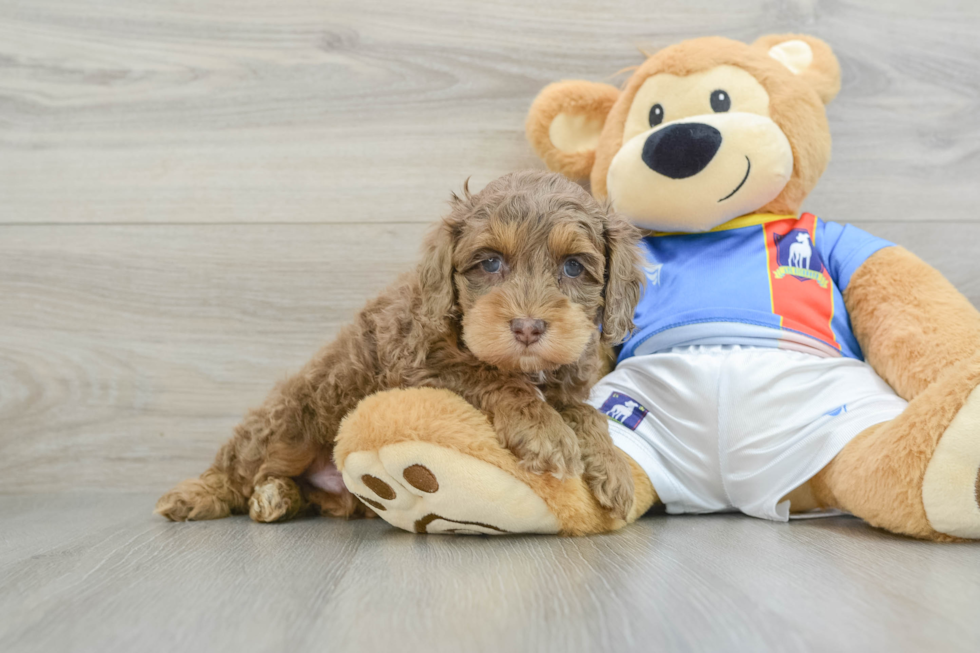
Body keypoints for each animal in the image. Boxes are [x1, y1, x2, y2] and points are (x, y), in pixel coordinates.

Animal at [157, 171, 648, 524]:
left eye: (573, 267)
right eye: (490, 263)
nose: (527, 327)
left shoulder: (565, 380)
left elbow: (584, 412)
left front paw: (612, 467)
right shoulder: (418, 364)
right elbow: (492, 378)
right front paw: (544, 430)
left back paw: (277, 497)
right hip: (289, 421)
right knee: (242, 467)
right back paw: (198, 495)